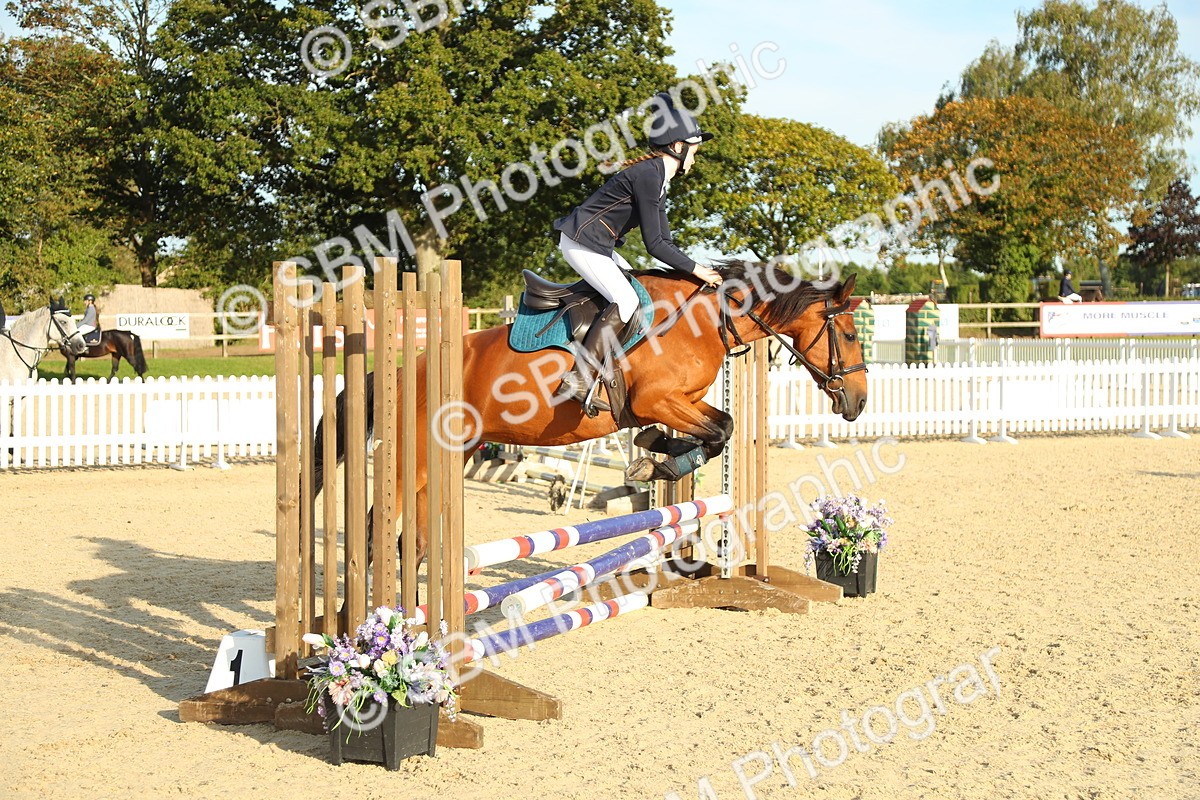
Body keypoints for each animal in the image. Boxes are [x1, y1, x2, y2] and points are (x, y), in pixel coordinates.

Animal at [315, 261, 869, 571]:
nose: (859, 403)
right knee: (378, 522)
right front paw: (656, 461)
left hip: (454, 451)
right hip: (417, 456)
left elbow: (720, 430)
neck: (705, 321)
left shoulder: (683, 402)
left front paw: (653, 455)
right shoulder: (657, 400)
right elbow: (717, 431)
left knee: (415, 532)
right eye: (849, 334)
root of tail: (404, 369)